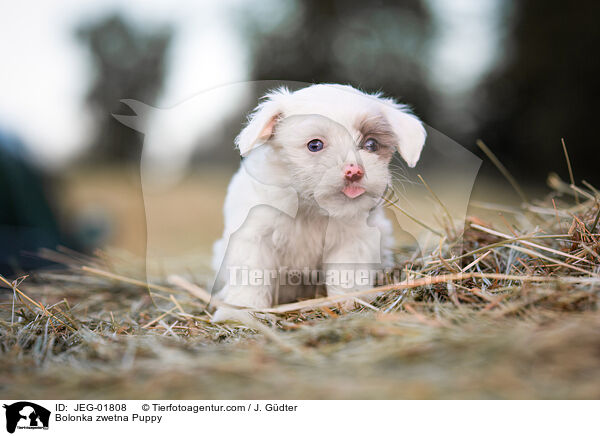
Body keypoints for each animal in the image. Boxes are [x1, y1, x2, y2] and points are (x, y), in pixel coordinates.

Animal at [211, 84, 426, 320]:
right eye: (315, 145)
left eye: (371, 144)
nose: (354, 171)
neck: (311, 206)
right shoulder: (254, 235)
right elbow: (251, 274)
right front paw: (242, 311)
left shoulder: (353, 240)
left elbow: (347, 272)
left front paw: (350, 301)